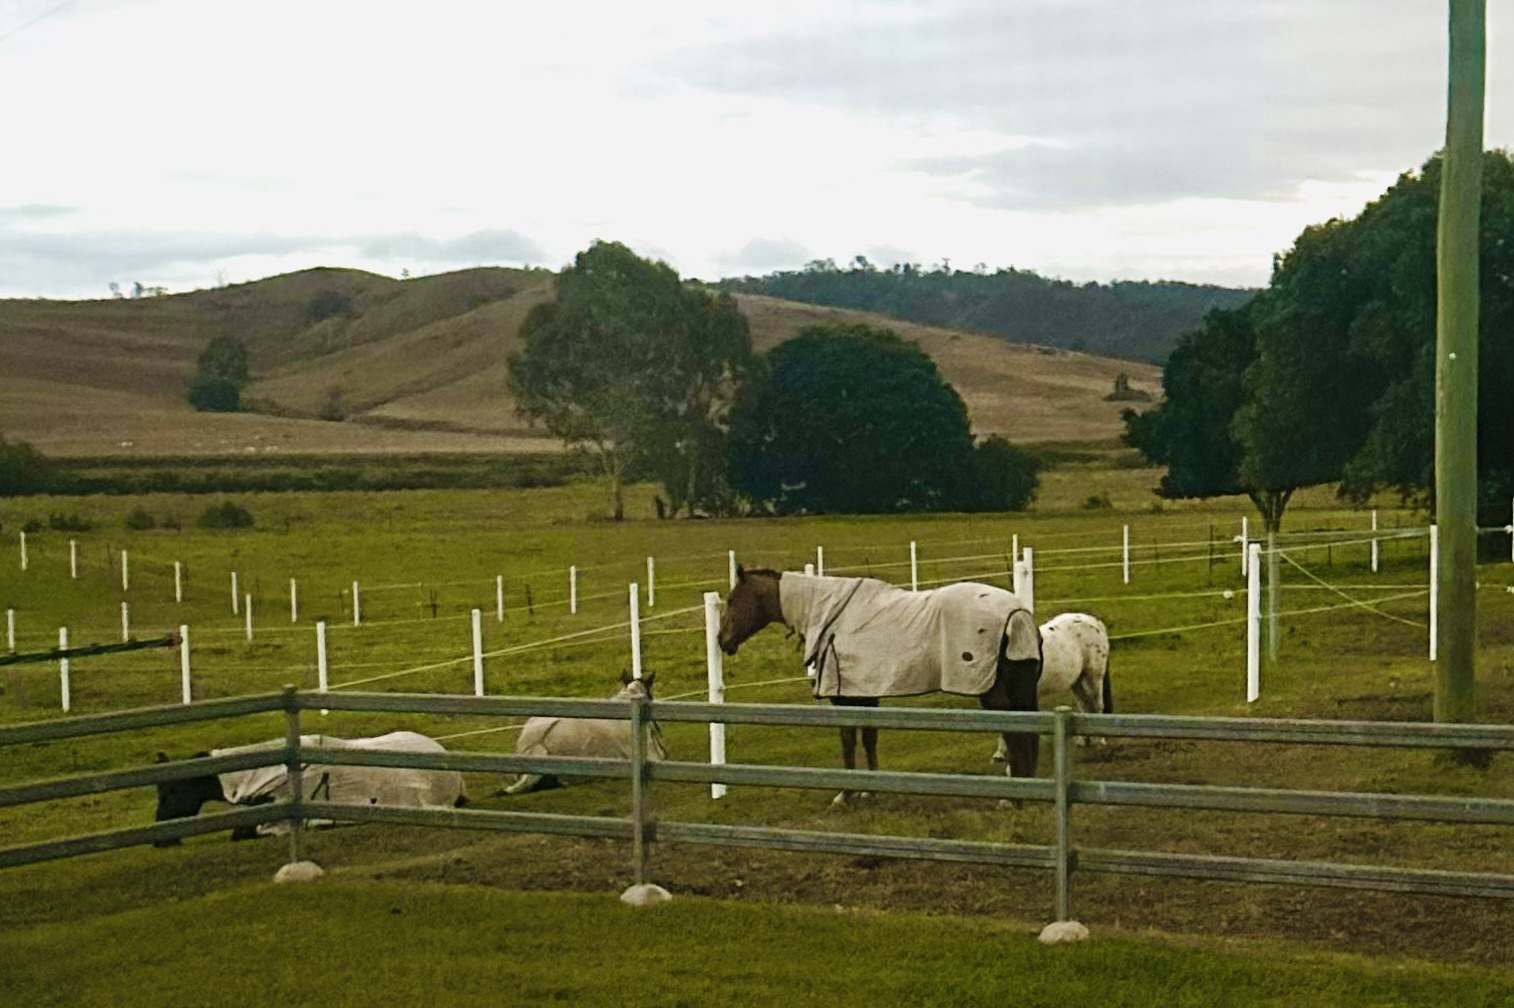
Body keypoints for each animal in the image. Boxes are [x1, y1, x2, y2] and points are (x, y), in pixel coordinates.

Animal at [717, 566, 1043, 803]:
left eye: (732, 600)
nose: (722, 641)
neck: (834, 617)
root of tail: (1018, 613)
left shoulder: (844, 698)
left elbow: (849, 740)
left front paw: (846, 793)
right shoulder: (866, 693)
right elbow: (869, 738)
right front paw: (872, 789)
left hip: (991, 691)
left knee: (1013, 729)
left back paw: (1013, 797)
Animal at [992, 611, 1112, 761]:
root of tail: (1095, 622)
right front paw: (1000, 754)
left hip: (1093, 677)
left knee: (1097, 705)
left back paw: (1101, 739)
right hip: (1076, 681)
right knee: (1084, 705)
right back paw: (1084, 740)